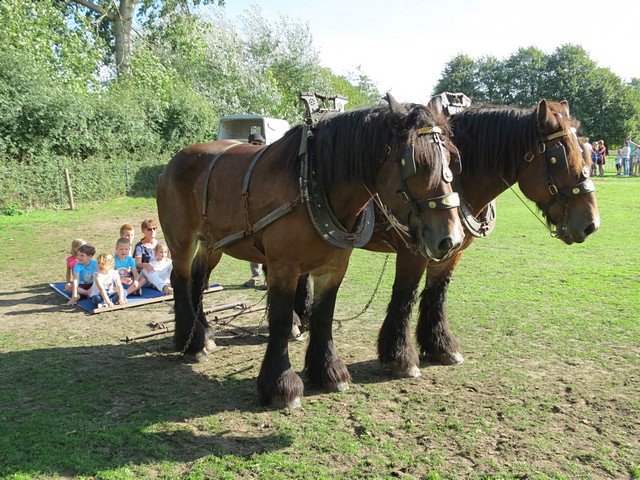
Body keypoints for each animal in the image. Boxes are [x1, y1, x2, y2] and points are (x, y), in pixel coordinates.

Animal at [157, 94, 462, 408]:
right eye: (415, 163)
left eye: (452, 160)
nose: (450, 238)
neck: (312, 181)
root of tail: (177, 159)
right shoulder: (283, 267)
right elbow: (280, 320)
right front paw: (280, 385)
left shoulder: (334, 268)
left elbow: (323, 316)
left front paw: (328, 371)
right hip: (180, 241)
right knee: (180, 281)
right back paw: (191, 343)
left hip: (212, 244)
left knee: (198, 281)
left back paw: (202, 334)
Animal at [296, 99, 600, 378]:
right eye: (559, 159)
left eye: (587, 154)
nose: (591, 224)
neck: (458, 182)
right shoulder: (413, 253)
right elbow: (405, 297)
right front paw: (400, 358)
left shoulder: (451, 250)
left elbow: (437, 294)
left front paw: (440, 346)